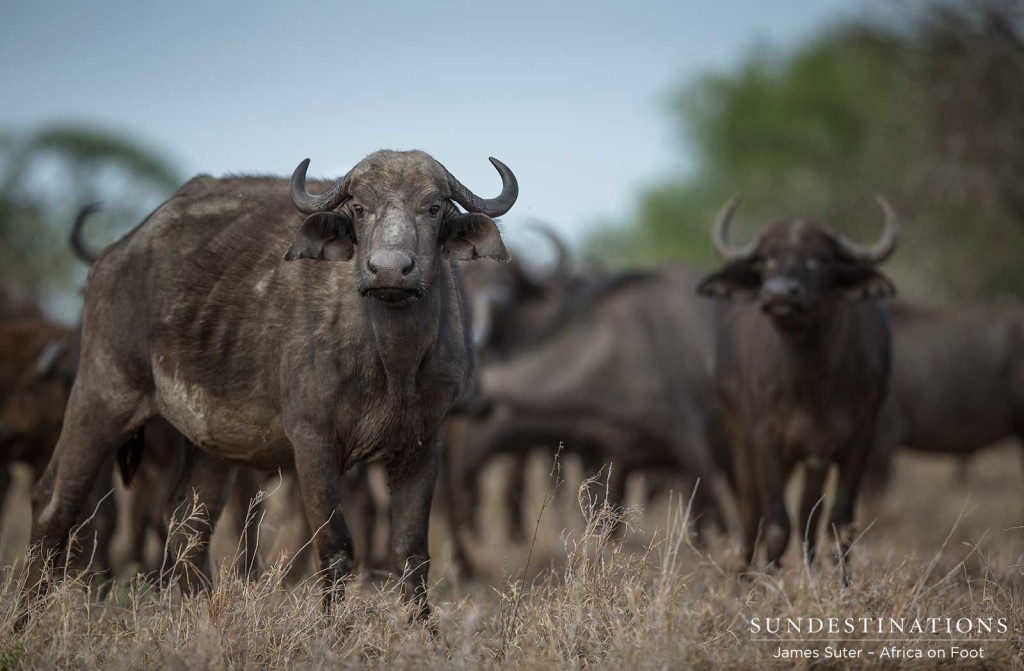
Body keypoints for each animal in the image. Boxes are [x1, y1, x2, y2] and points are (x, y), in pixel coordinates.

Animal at [29, 149, 520, 618]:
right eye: (360, 208)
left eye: (434, 207)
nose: (389, 270)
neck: (391, 361)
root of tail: (113, 256)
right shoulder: (313, 440)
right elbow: (334, 545)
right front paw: (332, 628)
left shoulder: (423, 443)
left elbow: (412, 551)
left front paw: (425, 630)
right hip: (101, 396)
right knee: (55, 502)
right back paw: (25, 614)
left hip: (209, 442)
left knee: (188, 523)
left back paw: (200, 616)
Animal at [696, 195, 897, 581]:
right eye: (766, 258)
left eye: (821, 257)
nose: (779, 294)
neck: (812, 382)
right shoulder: (766, 438)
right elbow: (776, 522)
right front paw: (768, 582)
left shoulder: (858, 440)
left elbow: (839, 522)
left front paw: (841, 583)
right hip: (740, 437)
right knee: (751, 508)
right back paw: (743, 574)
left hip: (812, 458)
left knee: (808, 516)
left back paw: (809, 568)